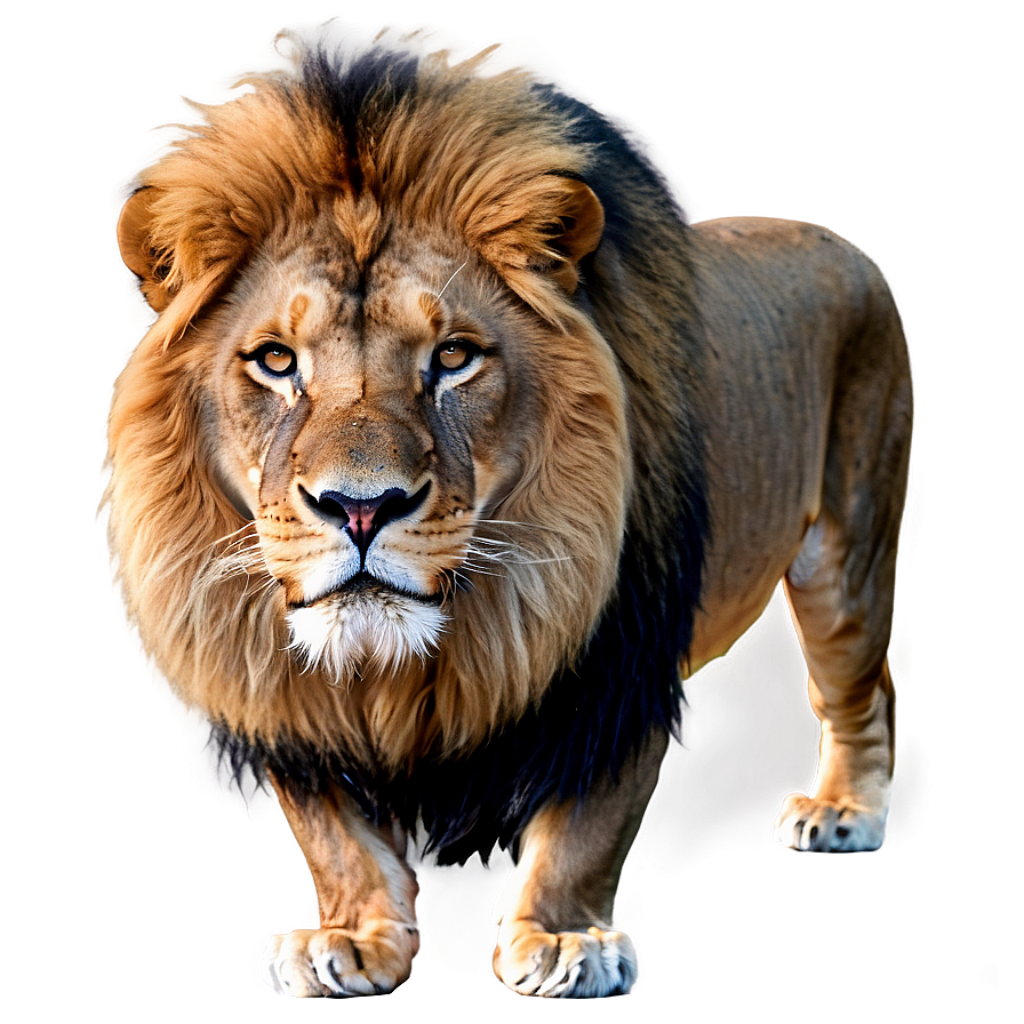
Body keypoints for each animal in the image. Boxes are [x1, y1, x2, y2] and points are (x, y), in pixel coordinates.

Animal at [102, 16, 914, 998]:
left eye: (453, 357)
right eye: (275, 361)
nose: (361, 508)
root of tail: (842, 242)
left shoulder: (620, 662)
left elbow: (586, 824)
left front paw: (564, 940)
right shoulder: (270, 684)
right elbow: (331, 830)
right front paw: (347, 935)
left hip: (849, 546)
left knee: (859, 687)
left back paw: (845, 813)